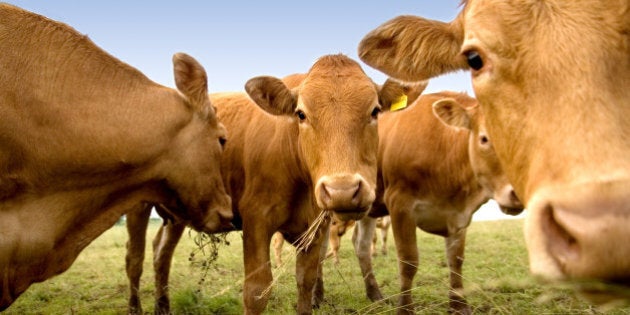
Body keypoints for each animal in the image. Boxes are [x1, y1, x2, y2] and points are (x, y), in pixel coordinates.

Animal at [124, 55, 420, 314]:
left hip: (177, 213)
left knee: (161, 254)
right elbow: (256, 291)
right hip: (137, 205)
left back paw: (163, 307)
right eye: (301, 114)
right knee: (134, 260)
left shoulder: (315, 229)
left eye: (375, 111)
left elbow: (306, 281)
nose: (343, 191)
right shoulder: (256, 221)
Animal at [350, 92, 524, 315]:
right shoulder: (400, 204)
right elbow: (408, 261)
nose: (518, 192)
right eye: (485, 138)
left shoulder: (460, 215)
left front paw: (459, 306)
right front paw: (405, 309)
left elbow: (456, 260)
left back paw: (375, 295)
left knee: (361, 245)